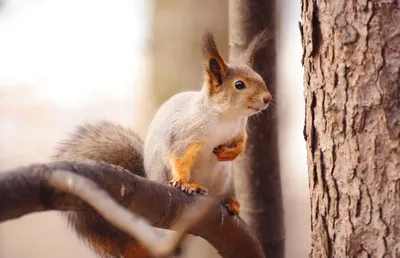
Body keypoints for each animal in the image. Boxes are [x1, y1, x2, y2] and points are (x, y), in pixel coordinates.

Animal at [53, 30, 272, 258]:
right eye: (239, 85)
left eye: (261, 79)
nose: (268, 98)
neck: (227, 118)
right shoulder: (187, 134)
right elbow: (180, 155)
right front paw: (184, 182)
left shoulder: (239, 131)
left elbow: (241, 144)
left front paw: (230, 153)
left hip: (225, 180)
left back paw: (230, 201)